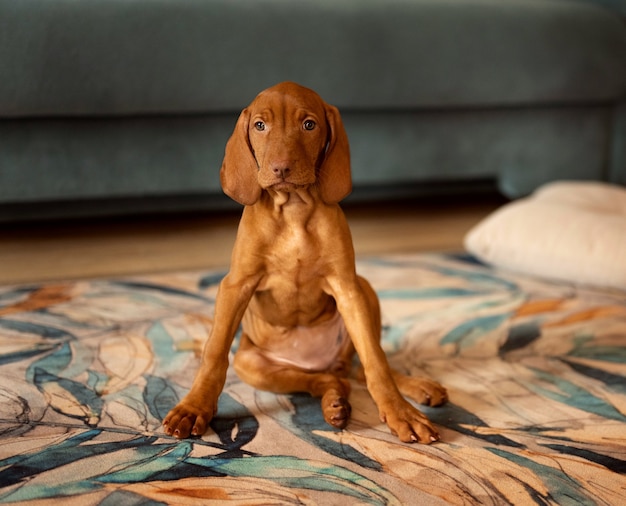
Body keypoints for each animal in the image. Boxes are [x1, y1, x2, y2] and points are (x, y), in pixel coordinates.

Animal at [161, 81, 444, 440]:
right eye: (260, 125)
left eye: (309, 125)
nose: (281, 168)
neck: (293, 209)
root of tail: (322, 362)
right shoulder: (236, 285)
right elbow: (214, 353)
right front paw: (195, 407)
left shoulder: (347, 287)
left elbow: (375, 359)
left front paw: (399, 411)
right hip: (254, 365)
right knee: (323, 380)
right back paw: (334, 401)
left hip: (364, 292)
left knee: (360, 368)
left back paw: (415, 386)